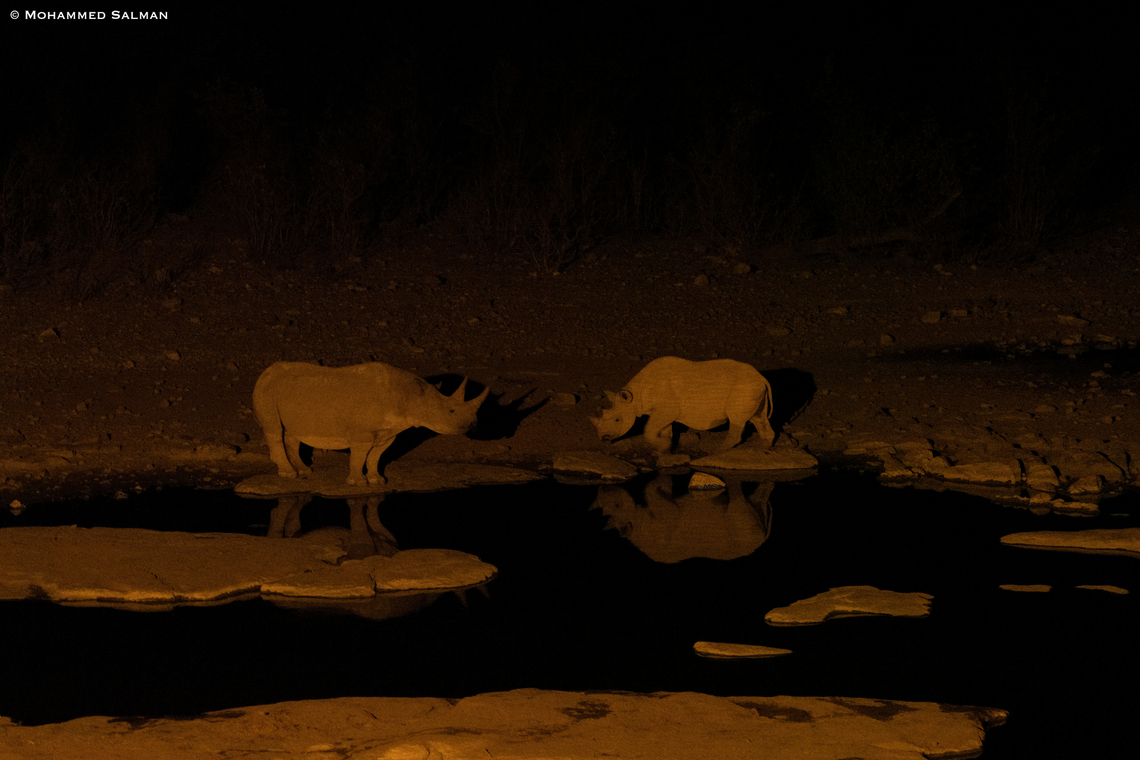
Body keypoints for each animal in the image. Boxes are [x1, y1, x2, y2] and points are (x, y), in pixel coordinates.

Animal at [253, 361, 488, 486]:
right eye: (451, 411)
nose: (474, 425)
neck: (411, 397)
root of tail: (265, 371)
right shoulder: (362, 433)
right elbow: (359, 455)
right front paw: (357, 483)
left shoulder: (389, 431)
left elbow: (376, 455)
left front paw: (377, 480)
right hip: (266, 390)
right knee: (275, 430)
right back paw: (290, 474)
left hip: (288, 394)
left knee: (291, 432)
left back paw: (304, 472)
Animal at [590, 357, 775, 456]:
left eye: (617, 420)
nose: (603, 437)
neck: (634, 397)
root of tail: (762, 378)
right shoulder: (666, 411)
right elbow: (665, 431)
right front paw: (664, 450)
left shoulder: (667, 409)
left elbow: (648, 429)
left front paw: (663, 447)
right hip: (753, 387)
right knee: (759, 418)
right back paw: (764, 449)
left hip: (744, 387)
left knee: (737, 419)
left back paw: (716, 451)